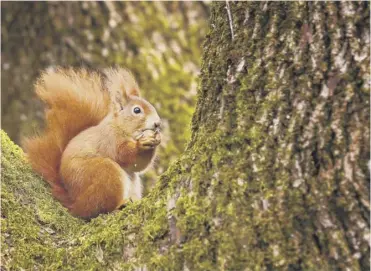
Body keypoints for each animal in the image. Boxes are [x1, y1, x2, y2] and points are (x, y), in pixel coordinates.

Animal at [23, 68, 161, 219]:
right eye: (137, 110)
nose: (157, 124)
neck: (120, 126)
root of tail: (74, 202)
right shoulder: (110, 139)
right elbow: (124, 154)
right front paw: (141, 144)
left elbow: (138, 165)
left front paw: (157, 139)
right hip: (104, 174)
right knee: (96, 210)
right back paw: (117, 206)